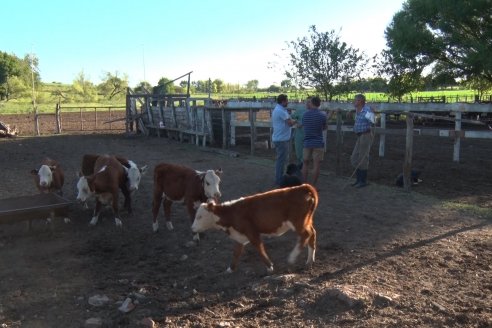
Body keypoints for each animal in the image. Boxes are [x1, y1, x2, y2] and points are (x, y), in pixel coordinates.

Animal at [190, 183, 318, 272]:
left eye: (200, 216)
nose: (192, 228)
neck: (232, 213)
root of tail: (303, 187)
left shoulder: (252, 232)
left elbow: (259, 248)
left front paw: (270, 267)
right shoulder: (239, 236)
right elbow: (236, 253)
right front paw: (230, 269)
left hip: (298, 222)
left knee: (306, 235)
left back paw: (292, 258)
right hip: (307, 221)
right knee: (312, 234)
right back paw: (309, 261)